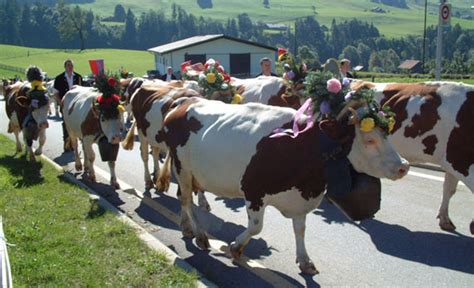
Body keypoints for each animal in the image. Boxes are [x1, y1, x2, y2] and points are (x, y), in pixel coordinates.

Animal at [157, 97, 410, 274]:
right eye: (369, 140)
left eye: (386, 135)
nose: (404, 166)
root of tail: (185, 101)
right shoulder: (254, 192)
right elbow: (256, 228)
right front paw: (236, 247)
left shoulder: (300, 199)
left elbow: (300, 230)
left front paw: (305, 261)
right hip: (182, 168)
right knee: (186, 199)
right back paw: (200, 236)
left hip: (191, 173)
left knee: (182, 198)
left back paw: (186, 228)